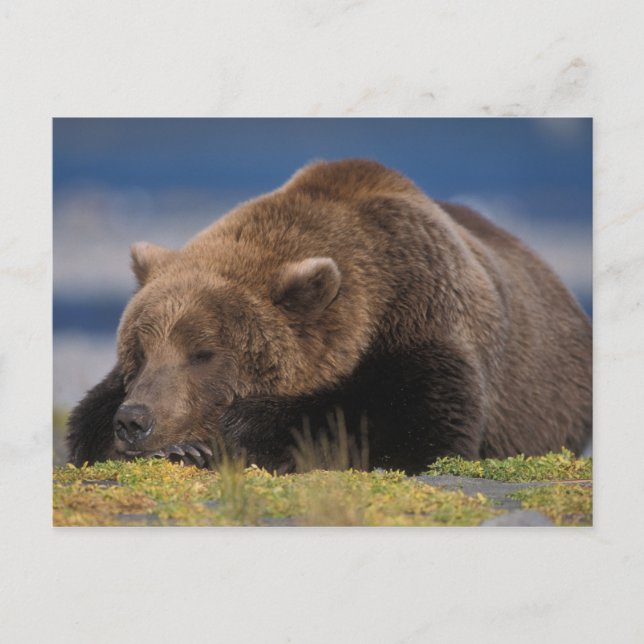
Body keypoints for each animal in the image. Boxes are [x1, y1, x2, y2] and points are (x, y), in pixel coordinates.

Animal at [66, 159, 592, 474]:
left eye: (203, 352)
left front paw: (226, 434)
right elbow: (85, 422)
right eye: (137, 350)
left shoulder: (424, 316)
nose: (135, 420)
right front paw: (177, 446)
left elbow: (414, 426)